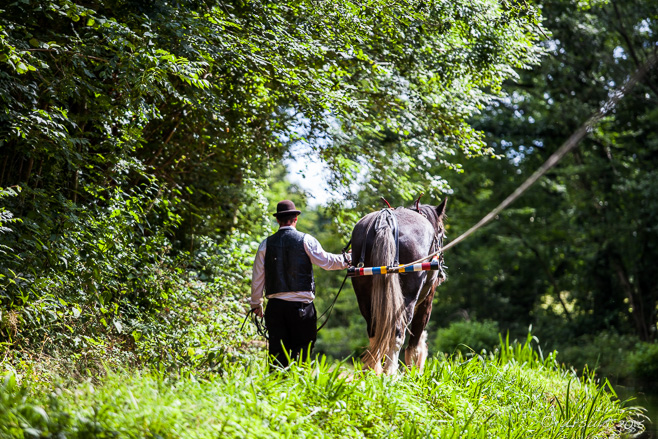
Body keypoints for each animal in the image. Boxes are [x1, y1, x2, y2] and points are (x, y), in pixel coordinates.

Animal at [348, 199, 446, 374]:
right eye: (441, 232)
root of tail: (385, 220)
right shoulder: (427, 299)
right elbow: (415, 340)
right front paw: (415, 371)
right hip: (407, 299)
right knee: (397, 333)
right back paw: (391, 373)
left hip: (364, 297)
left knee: (374, 333)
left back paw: (373, 372)